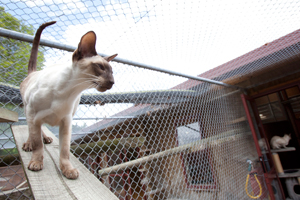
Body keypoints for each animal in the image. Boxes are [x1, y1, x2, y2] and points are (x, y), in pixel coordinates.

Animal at [19, 20, 117, 180]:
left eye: (112, 72)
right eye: (100, 67)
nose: (112, 82)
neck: (69, 92)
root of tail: (34, 73)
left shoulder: (66, 121)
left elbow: (64, 150)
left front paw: (68, 170)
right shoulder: (33, 115)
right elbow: (37, 144)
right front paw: (36, 163)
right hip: (28, 111)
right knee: (32, 132)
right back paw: (30, 144)